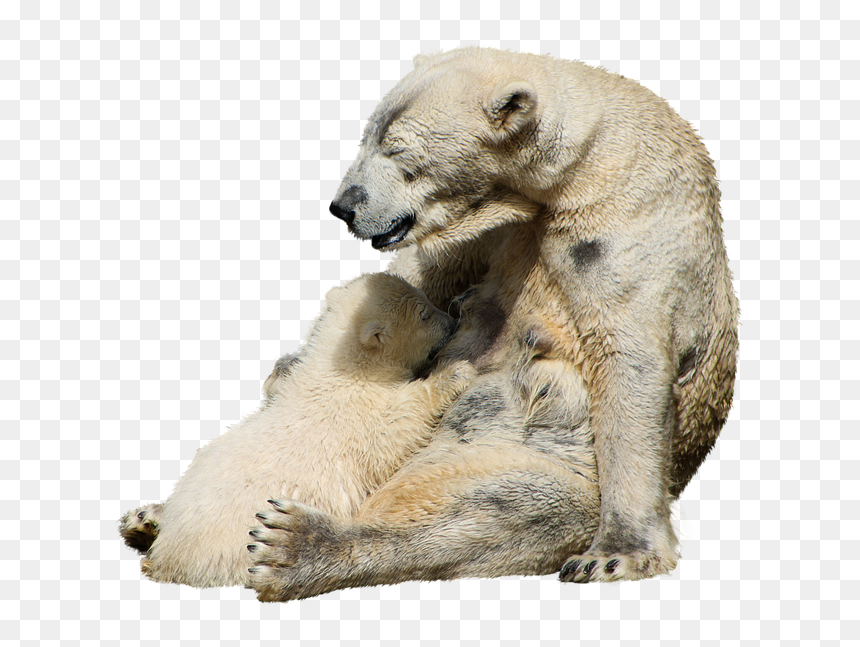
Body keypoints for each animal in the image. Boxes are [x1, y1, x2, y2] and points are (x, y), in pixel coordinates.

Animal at [119, 272, 476, 588]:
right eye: (425, 313)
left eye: (426, 299)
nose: (451, 318)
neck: (338, 370)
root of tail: (168, 557)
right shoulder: (356, 413)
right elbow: (399, 426)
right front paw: (456, 372)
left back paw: (147, 521)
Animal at [246, 47, 738, 601]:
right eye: (366, 139)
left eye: (398, 151)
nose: (343, 206)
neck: (577, 168)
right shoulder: (490, 234)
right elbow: (422, 277)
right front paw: (292, 364)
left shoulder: (624, 223)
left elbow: (628, 361)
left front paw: (616, 554)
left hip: (509, 458)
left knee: (499, 509)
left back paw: (294, 543)